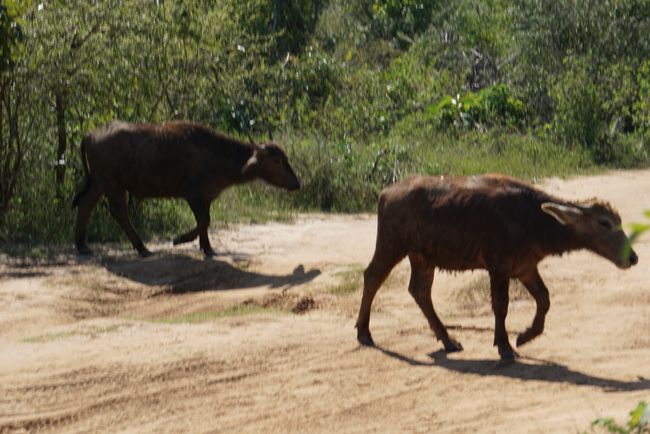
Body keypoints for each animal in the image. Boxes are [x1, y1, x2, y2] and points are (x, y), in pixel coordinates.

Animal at [72, 119, 300, 258]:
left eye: (286, 158)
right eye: (277, 161)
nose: (297, 183)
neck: (216, 154)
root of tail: (90, 134)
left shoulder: (206, 197)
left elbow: (205, 221)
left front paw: (206, 247)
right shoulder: (193, 195)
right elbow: (204, 221)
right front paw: (180, 239)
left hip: (100, 182)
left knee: (85, 204)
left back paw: (82, 245)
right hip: (112, 184)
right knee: (119, 212)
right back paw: (142, 248)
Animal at [356, 173, 636, 360]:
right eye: (604, 222)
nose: (632, 257)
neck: (534, 220)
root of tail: (385, 193)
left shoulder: (525, 267)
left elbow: (544, 298)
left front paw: (525, 336)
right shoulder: (498, 266)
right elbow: (501, 306)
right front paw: (504, 346)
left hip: (422, 257)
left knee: (419, 291)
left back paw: (448, 340)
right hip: (392, 244)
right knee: (372, 277)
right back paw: (364, 333)